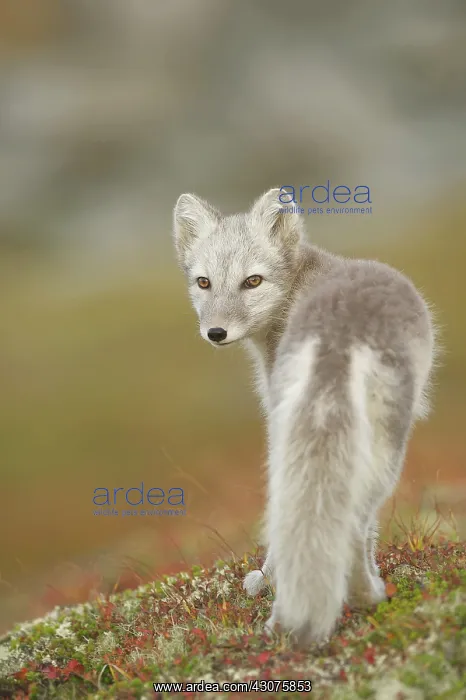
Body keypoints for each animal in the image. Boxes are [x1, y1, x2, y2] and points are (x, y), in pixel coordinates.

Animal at [171, 187, 437, 646]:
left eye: (252, 281)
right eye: (204, 282)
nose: (216, 333)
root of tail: (337, 337)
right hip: (382, 447)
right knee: (350, 524)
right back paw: (366, 596)